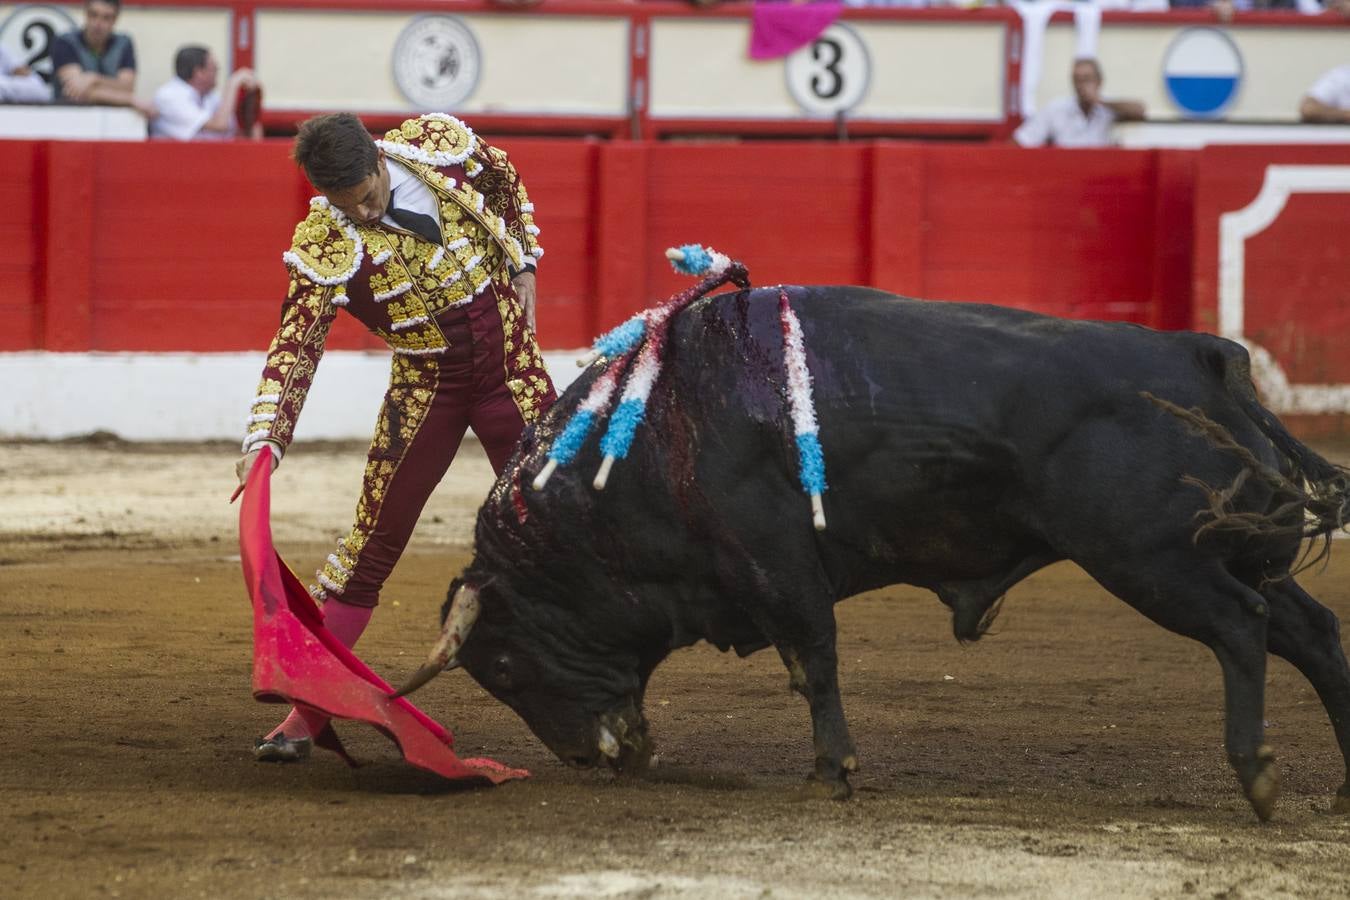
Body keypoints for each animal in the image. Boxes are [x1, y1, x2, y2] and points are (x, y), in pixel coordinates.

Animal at [399, 284, 1350, 820]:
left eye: (506, 668)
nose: (585, 759)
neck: (654, 434)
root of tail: (1200, 355)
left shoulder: (779, 562)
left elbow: (814, 659)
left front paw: (832, 773)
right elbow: (806, 662)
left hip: (1153, 561)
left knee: (1242, 628)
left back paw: (1257, 777)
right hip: (1234, 551)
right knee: (1313, 633)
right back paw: (1339, 787)